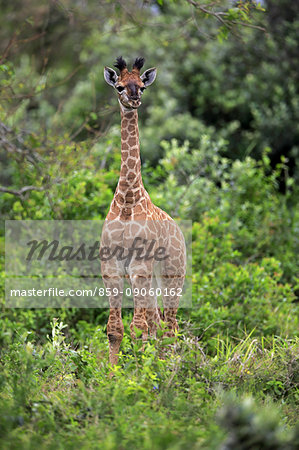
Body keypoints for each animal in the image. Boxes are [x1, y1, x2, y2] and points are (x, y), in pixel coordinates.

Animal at [102, 57, 188, 366]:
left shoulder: (139, 263)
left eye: (141, 85)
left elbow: (137, 328)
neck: (128, 199)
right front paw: (111, 374)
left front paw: (136, 376)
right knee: (158, 323)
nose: (134, 99)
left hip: (172, 271)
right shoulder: (112, 264)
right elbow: (115, 328)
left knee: (170, 327)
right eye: (119, 86)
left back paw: (166, 370)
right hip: (152, 277)